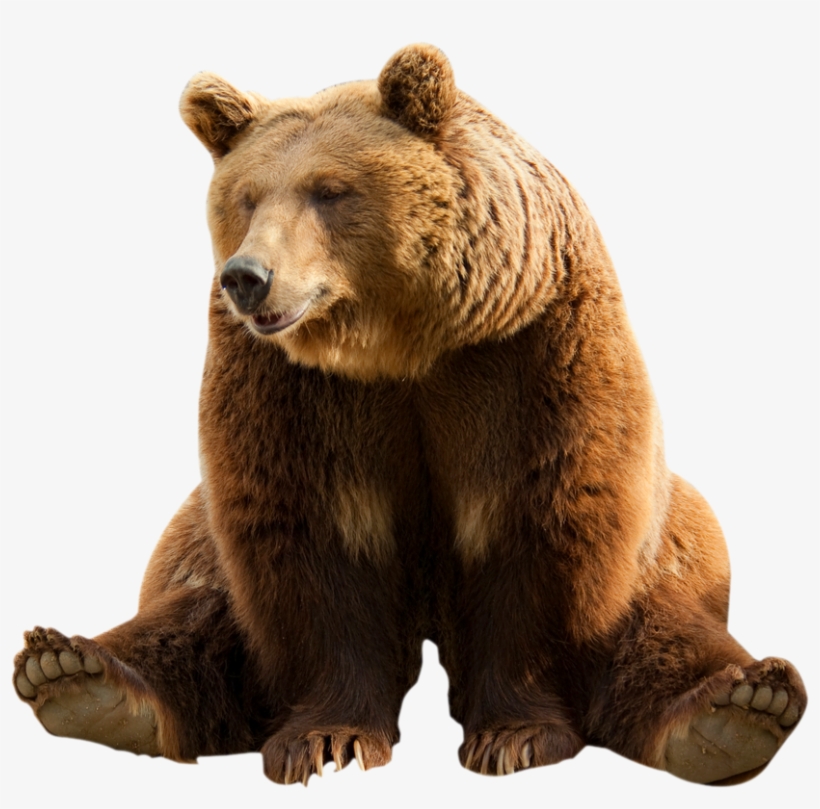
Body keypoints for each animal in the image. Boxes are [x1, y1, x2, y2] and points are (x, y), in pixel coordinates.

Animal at [13, 44, 806, 786]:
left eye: (329, 190)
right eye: (245, 196)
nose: (247, 277)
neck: (399, 346)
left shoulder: (528, 355)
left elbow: (536, 522)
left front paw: (514, 736)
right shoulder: (293, 390)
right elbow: (313, 538)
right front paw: (326, 739)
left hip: (674, 552)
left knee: (666, 638)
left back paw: (740, 707)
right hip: (191, 546)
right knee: (189, 624)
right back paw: (74, 674)